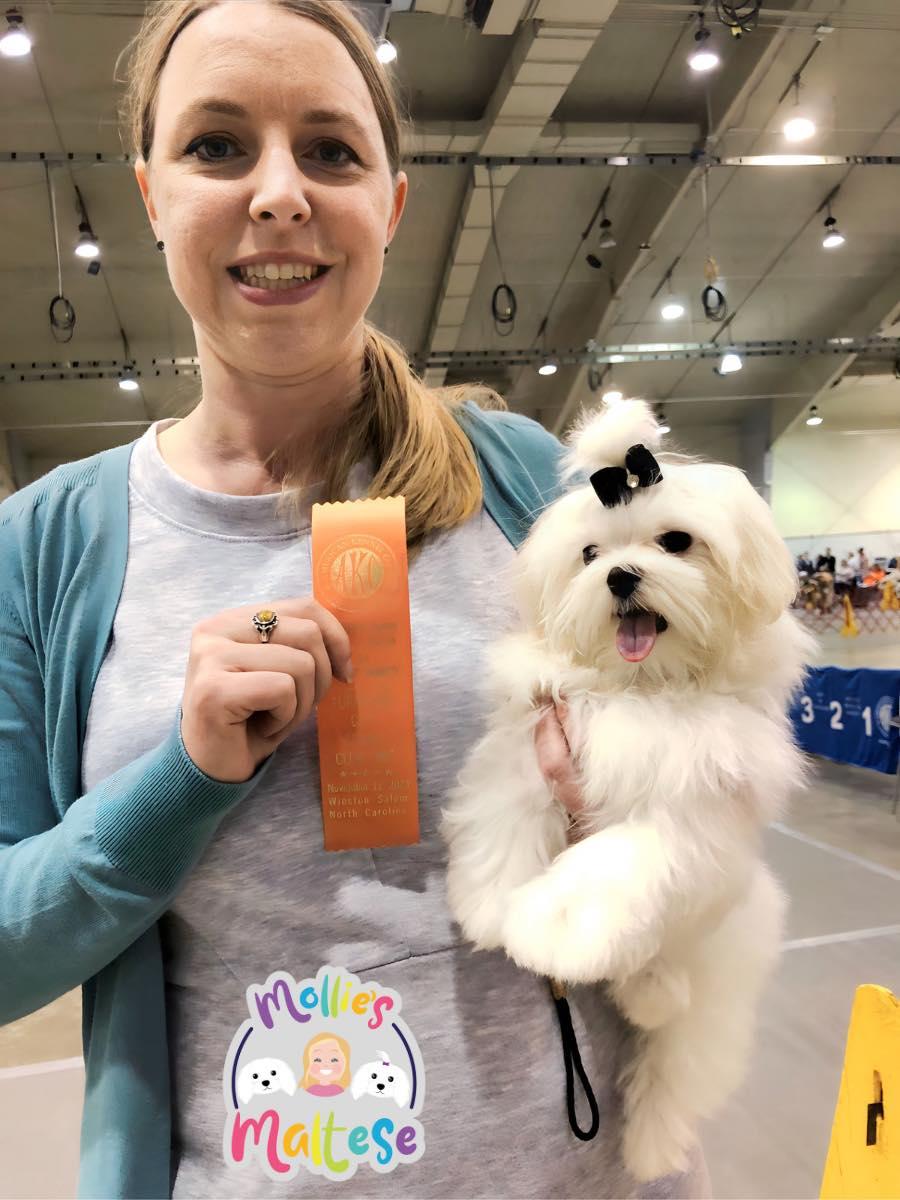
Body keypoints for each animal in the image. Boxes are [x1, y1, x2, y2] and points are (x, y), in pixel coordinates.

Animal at [441, 398, 813, 1181]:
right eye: (589, 556)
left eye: (676, 542)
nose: (619, 578)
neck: (644, 686)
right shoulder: (538, 740)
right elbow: (504, 816)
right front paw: (490, 902)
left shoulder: (692, 804)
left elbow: (614, 863)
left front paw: (554, 924)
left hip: (722, 971)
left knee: (679, 1063)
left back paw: (651, 1141)